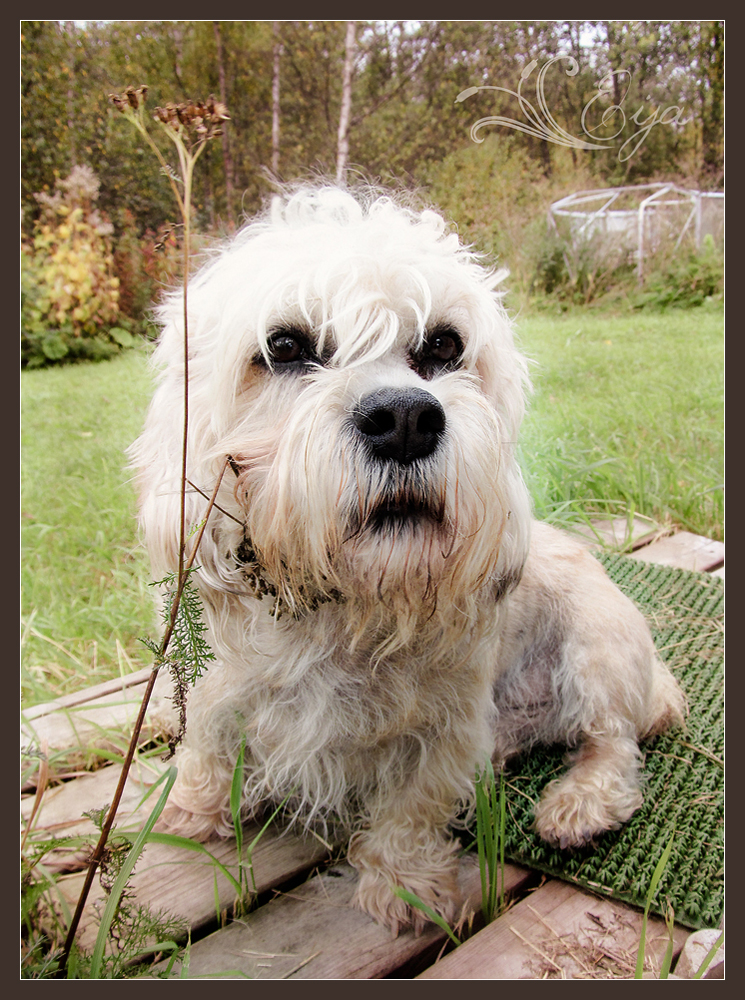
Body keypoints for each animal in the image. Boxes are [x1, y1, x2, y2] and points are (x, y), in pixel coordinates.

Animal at [131, 184, 684, 932]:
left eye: (444, 344)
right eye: (284, 346)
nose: (404, 419)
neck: (346, 604)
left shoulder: (444, 724)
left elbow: (414, 799)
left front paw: (403, 884)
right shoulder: (216, 685)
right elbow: (208, 744)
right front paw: (191, 811)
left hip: (600, 650)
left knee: (614, 745)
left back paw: (580, 804)